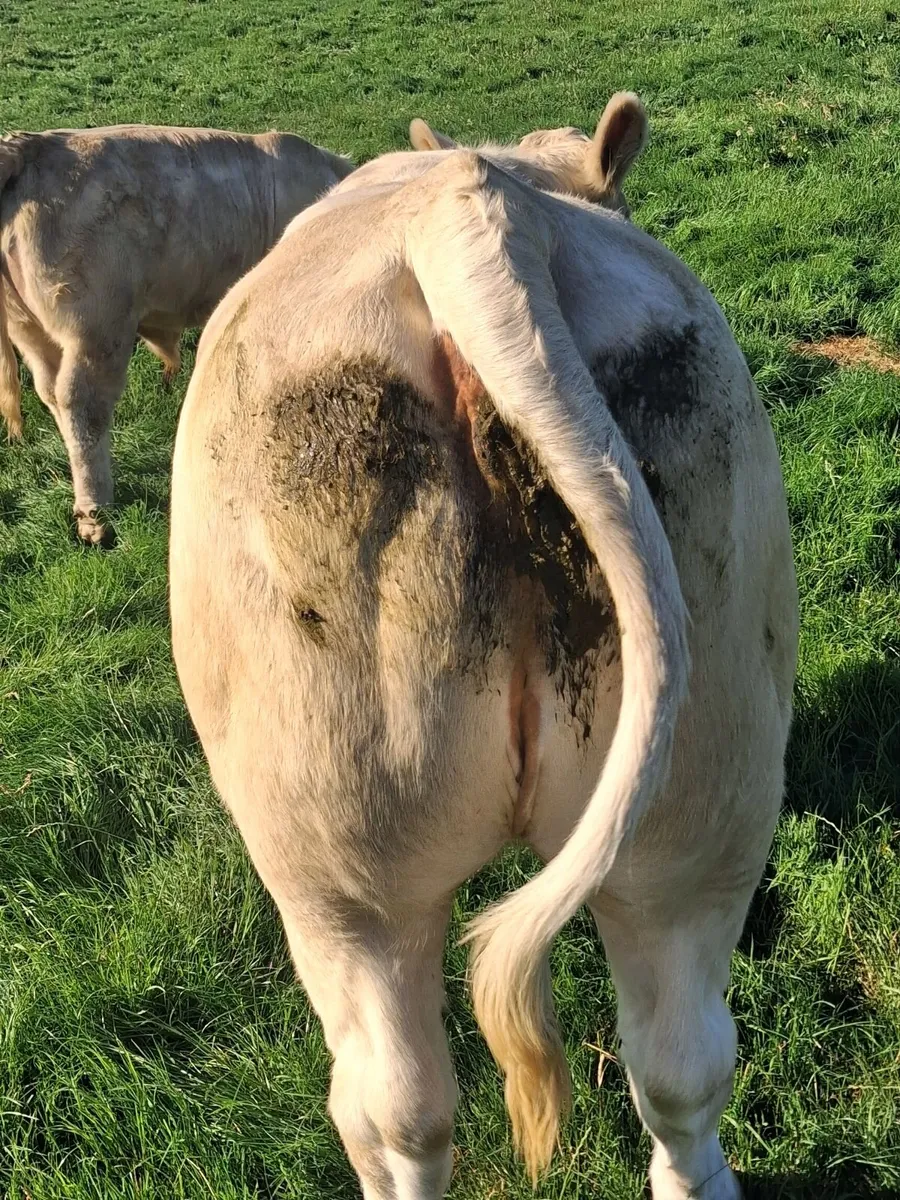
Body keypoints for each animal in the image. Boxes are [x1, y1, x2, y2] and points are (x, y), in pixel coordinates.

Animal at [0, 125, 353, 544]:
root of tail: (33, 146)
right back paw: (96, 514)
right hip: (96, 329)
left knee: (51, 393)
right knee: (83, 405)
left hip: (30, 331)